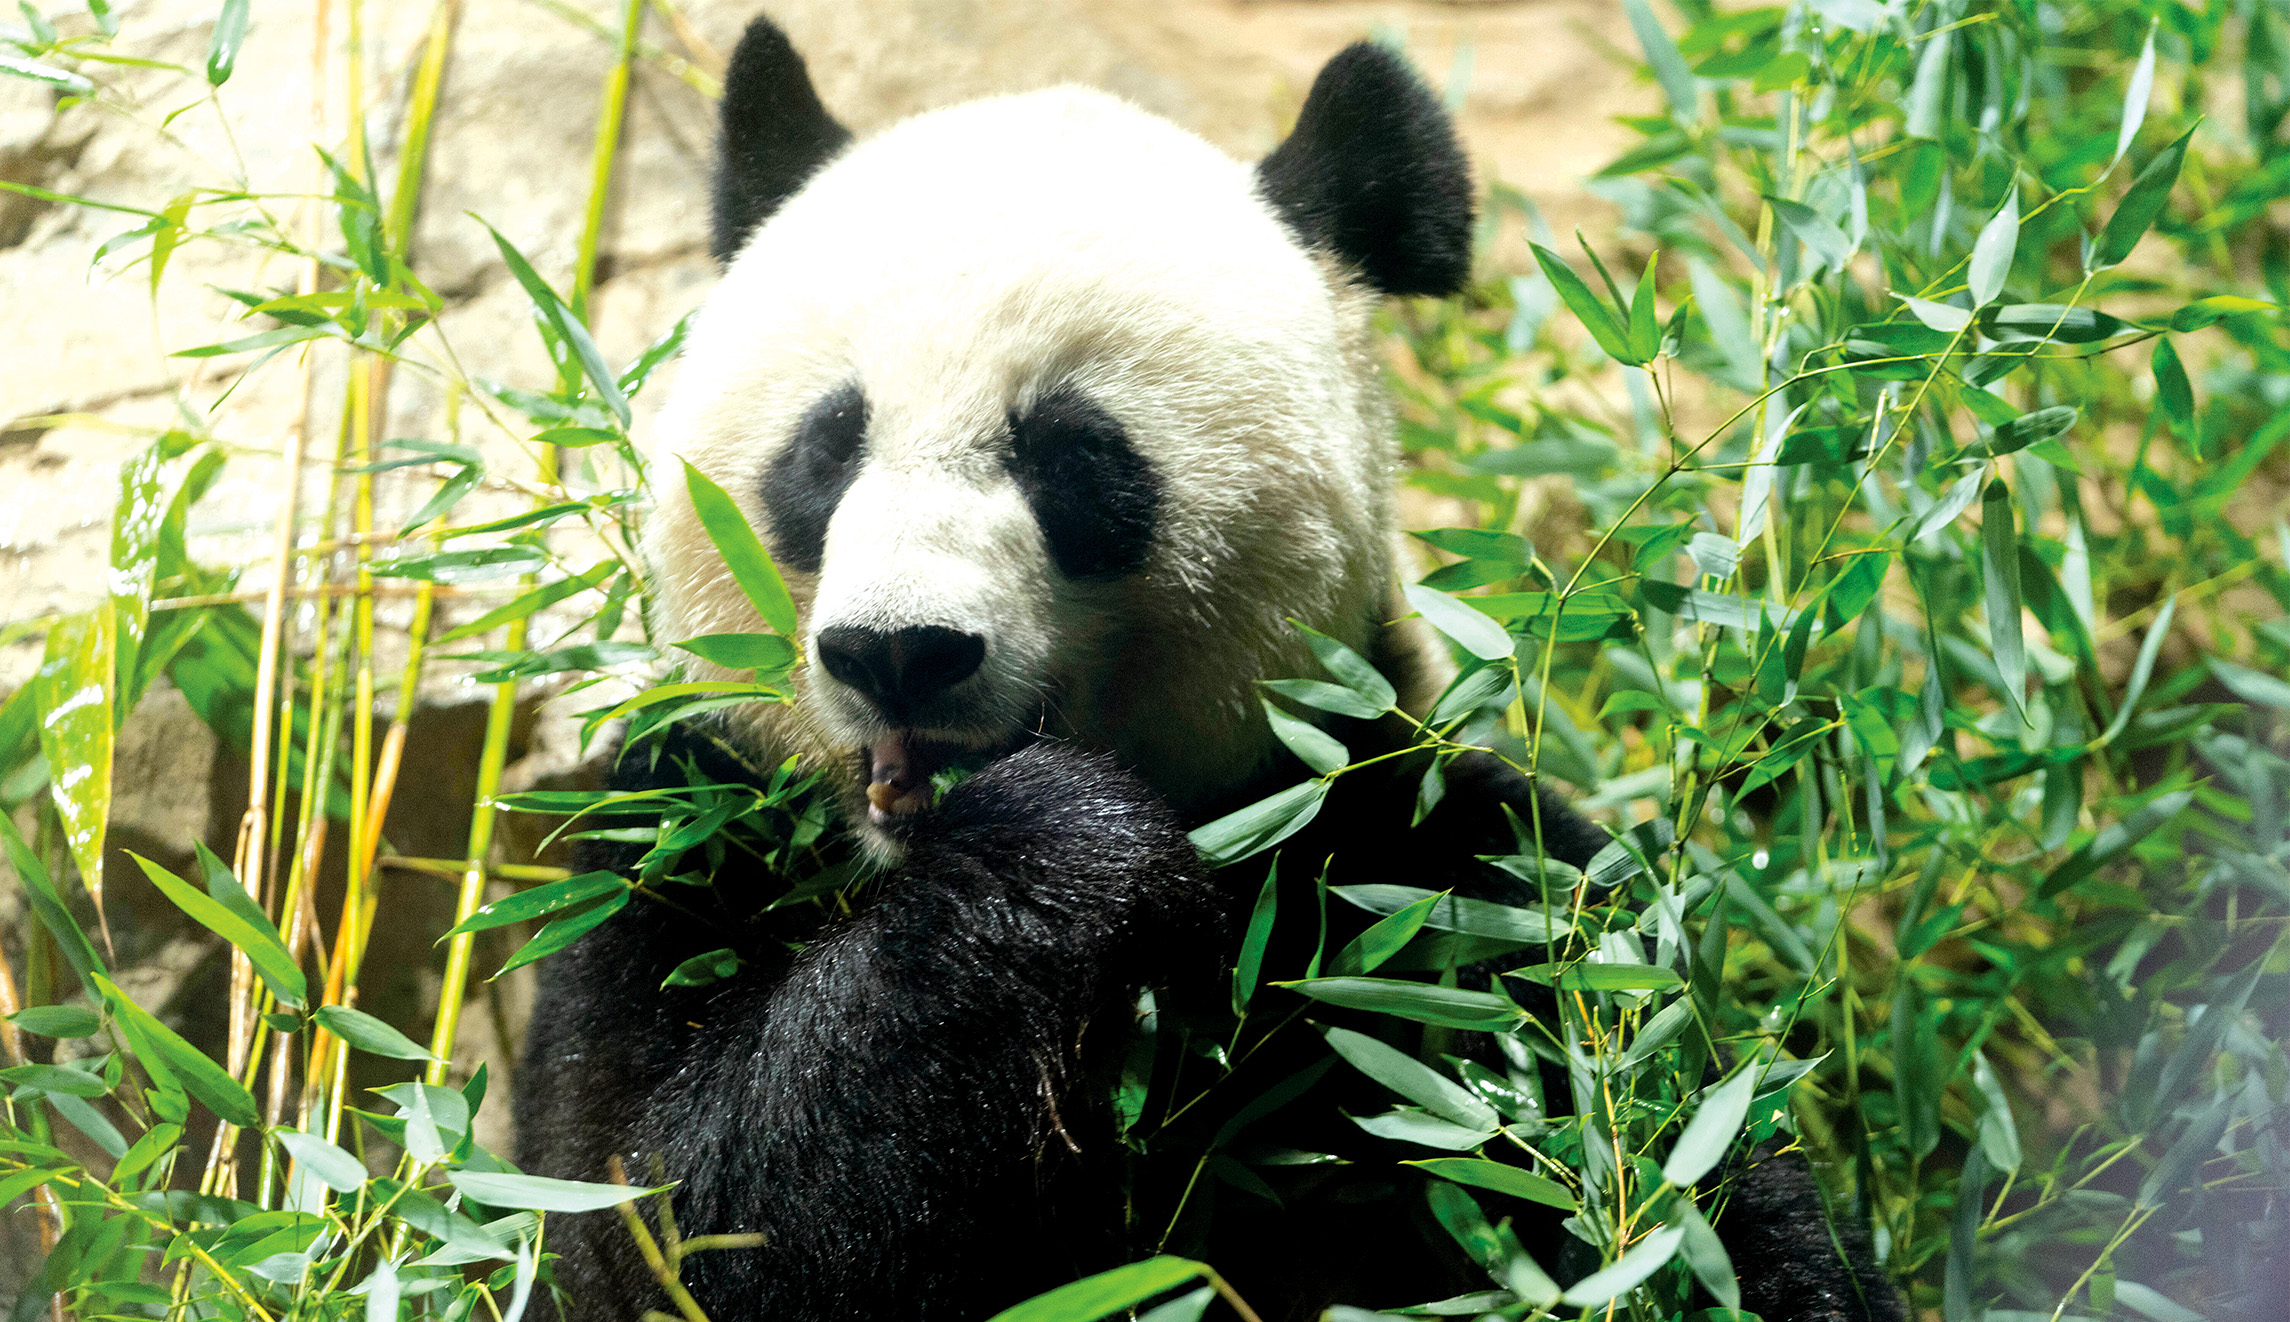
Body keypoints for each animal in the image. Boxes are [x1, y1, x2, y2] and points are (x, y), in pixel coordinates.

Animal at [513, 13, 1902, 1322]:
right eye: (827, 444)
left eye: (1071, 455)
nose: (901, 649)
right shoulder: (678, 829)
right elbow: (669, 1213)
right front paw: (1060, 847)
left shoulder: (1422, 877)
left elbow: (1671, 1164)